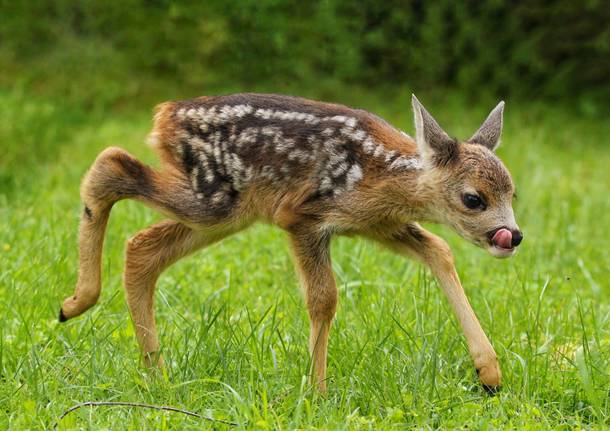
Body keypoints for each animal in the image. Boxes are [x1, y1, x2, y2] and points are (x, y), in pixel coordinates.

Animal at [61, 93, 520, 394]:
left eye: (512, 193)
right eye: (473, 198)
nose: (512, 236)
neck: (381, 176)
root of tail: (163, 117)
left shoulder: (379, 225)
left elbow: (440, 250)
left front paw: (490, 373)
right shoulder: (302, 217)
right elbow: (324, 299)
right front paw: (317, 392)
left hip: (226, 211)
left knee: (141, 247)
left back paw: (154, 374)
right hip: (213, 197)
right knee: (111, 163)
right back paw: (78, 302)